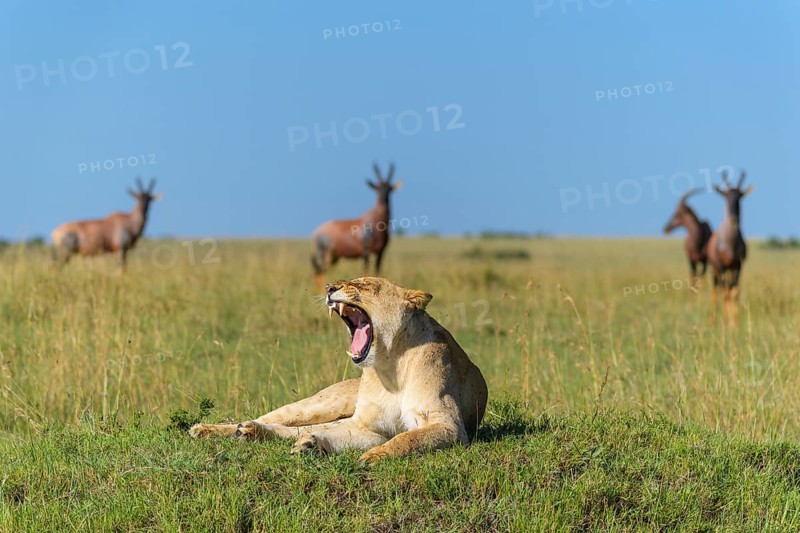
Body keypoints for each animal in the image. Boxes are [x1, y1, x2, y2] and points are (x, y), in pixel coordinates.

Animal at [189, 277, 488, 463]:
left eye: (366, 285)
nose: (330, 286)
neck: (390, 365)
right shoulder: (366, 424)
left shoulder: (446, 424)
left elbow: (406, 438)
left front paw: (373, 456)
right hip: (319, 404)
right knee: (275, 418)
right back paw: (216, 429)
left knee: (302, 429)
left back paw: (289, 439)